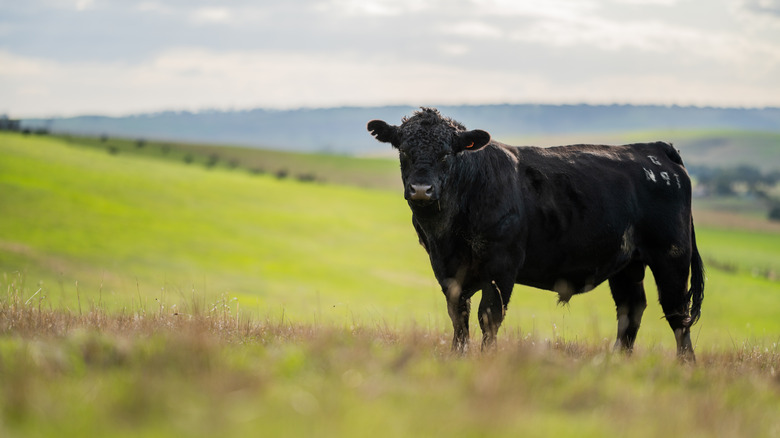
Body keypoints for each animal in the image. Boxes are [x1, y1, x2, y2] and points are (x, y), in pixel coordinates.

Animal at [368, 107, 704, 360]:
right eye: (404, 151)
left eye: (447, 154)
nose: (421, 189)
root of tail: (654, 148)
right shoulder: (446, 268)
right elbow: (458, 316)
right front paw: (457, 355)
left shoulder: (501, 265)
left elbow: (489, 316)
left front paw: (486, 359)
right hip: (628, 263)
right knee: (631, 309)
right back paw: (618, 360)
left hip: (671, 255)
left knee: (677, 312)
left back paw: (686, 365)